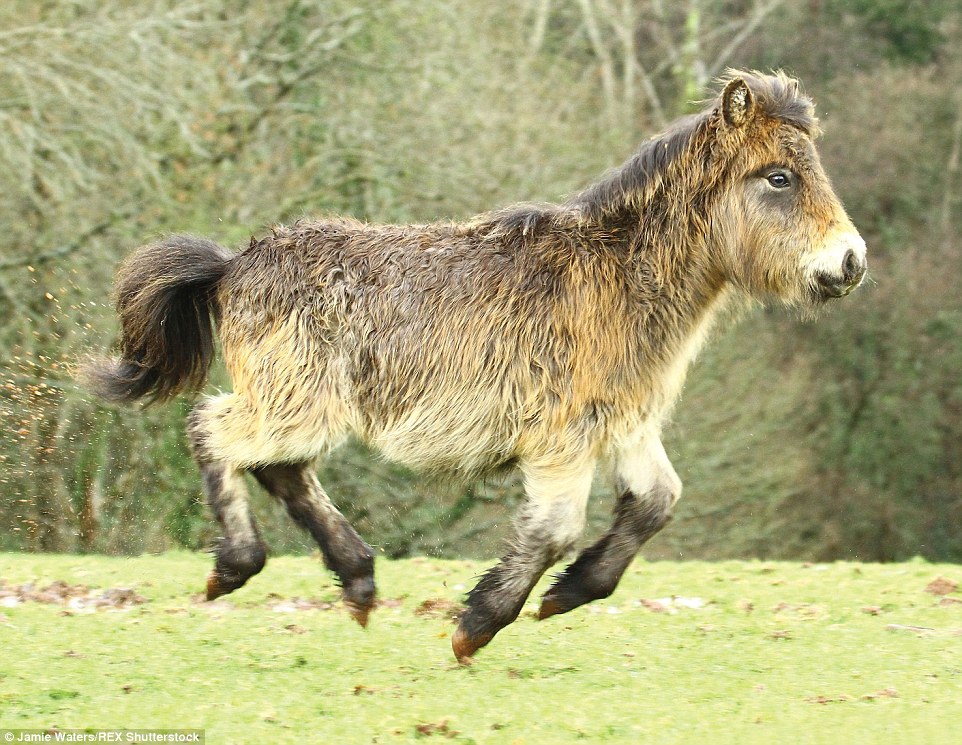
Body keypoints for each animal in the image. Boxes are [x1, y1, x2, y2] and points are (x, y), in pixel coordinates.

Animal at [82, 71, 864, 664]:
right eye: (780, 177)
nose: (851, 262)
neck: (616, 276)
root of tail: (232, 265)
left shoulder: (624, 426)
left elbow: (657, 503)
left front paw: (569, 592)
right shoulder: (562, 440)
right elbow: (553, 531)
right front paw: (476, 626)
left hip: (304, 409)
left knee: (279, 467)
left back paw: (357, 583)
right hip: (293, 403)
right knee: (213, 431)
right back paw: (236, 567)